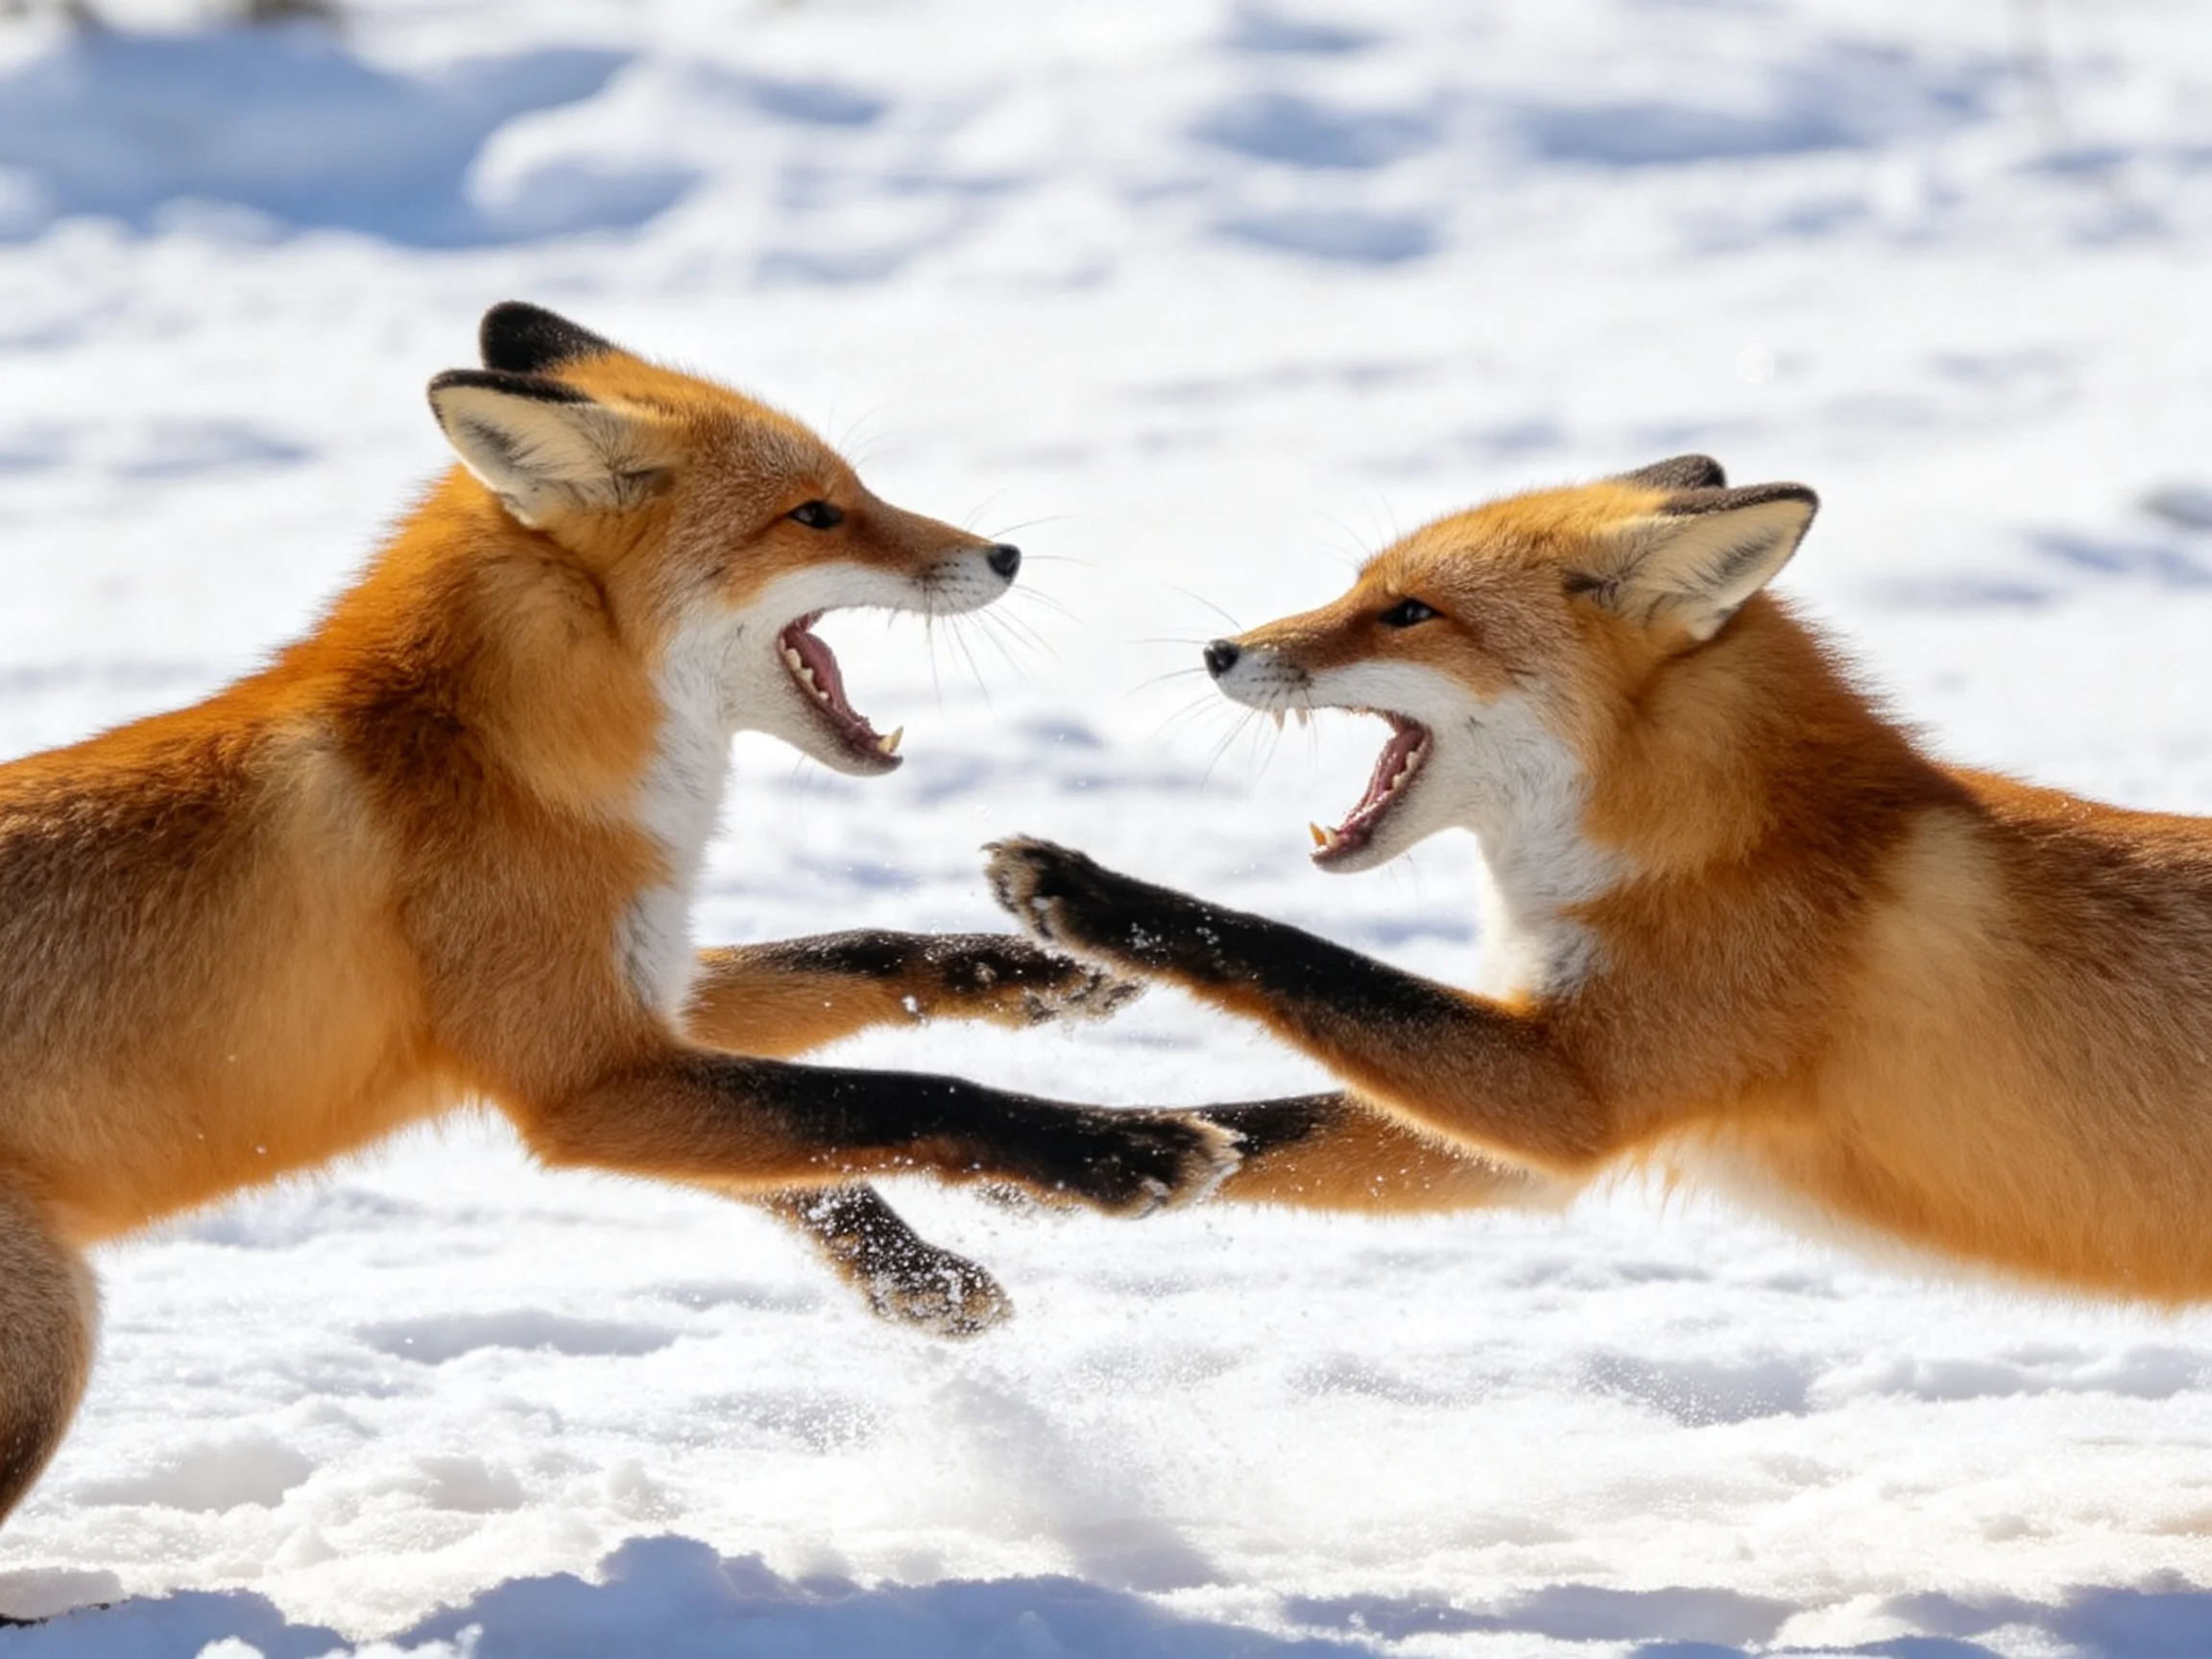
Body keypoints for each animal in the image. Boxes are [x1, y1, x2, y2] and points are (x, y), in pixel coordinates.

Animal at [0, 301, 1236, 1528]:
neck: (502, 754)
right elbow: (899, 1094)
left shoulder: (643, 996)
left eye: (854, 488)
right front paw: (1119, 1149)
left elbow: (855, 990)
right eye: (817, 512)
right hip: (53, 1350)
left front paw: (935, 1220)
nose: (1006, 555)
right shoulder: (582, 1080)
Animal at [984, 454, 2212, 1304]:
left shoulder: (1576, 1091)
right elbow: (1254, 1128)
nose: (1218, 653)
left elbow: (1293, 952)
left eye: (1410, 612)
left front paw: (1091, 895)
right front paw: (1068, 1161)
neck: (1716, 845)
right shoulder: (1531, 1134)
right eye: (1360, 588)